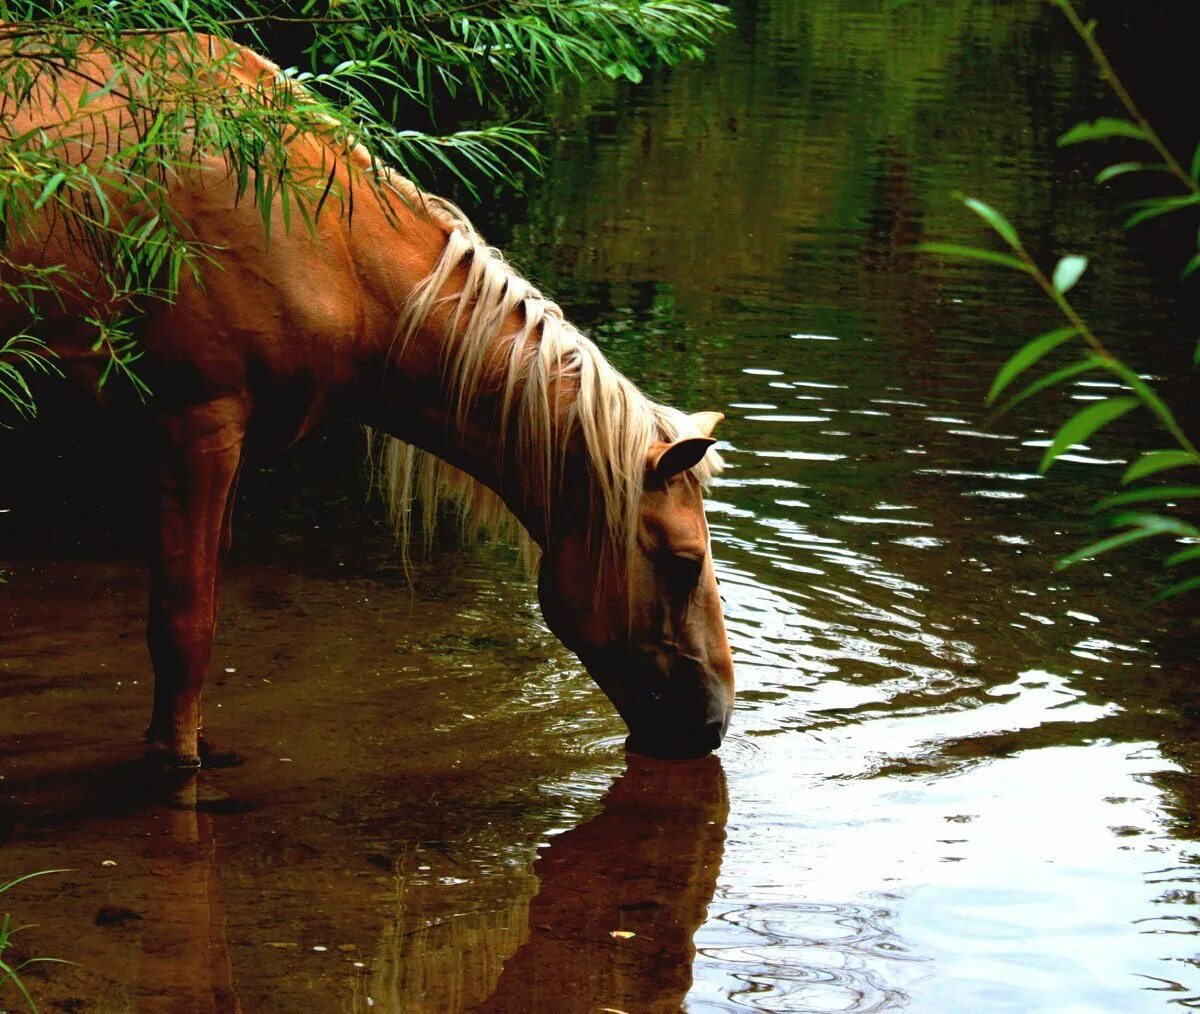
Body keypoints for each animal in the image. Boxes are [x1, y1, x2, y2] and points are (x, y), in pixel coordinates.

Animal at [0, 31, 734, 768]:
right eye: (684, 562)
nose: (713, 724)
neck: (320, 240)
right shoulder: (197, 425)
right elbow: (185, 625)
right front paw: (177, 762)